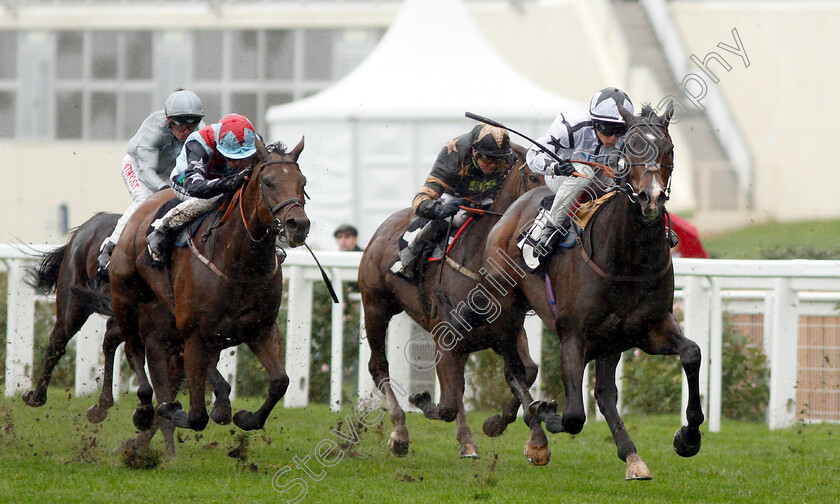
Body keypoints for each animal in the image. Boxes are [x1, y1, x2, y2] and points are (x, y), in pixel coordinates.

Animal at [109, 138, 308, 434]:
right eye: (269, 182)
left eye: (302, 182)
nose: (299, 225)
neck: (239, 265)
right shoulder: (195, 336)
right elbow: (196, 416)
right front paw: (171, 410)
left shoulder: (260, 328)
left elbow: (279, 381)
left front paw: (246, 417)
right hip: (125, 297)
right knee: (134, 348)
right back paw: (145, 407)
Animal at [358, 144, 548, 462]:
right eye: (533, 176)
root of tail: (382, 228)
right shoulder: (446, 339)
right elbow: (446, 405)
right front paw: (420, 399)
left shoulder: (509, 331)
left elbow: (526, 371)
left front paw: (508, 427)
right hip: (375, 307)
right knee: (378, 366)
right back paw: (400, 431)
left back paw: (467, 442)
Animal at [480, 102, 704, 480]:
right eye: (630, 149)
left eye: (670, 149)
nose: (651, 198)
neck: (627, 261)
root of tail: (510, 211)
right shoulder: (573, 334)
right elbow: (572, 415)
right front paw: (546, 410)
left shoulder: (649, 329)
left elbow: (692, 353)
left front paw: (688, 437)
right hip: (506, 309)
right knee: (515, 370)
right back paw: (533, 435)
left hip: (610, 340)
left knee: (601, 393)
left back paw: (631, 456)